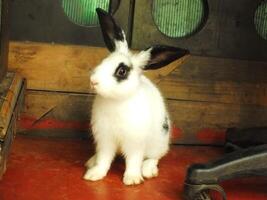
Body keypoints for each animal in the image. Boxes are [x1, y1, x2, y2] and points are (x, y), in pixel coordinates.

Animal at [84, 8, 191, 186]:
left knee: (155, 157)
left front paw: (132, 179)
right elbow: (104, 159)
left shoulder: (135, 142)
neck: (117, 101)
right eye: (104, 61)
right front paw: (94, 175)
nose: (93, 81)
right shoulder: (105, 139)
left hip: (159, 142)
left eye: (122, 71)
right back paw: (91, 161)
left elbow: (133, 160)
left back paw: (148, 170)